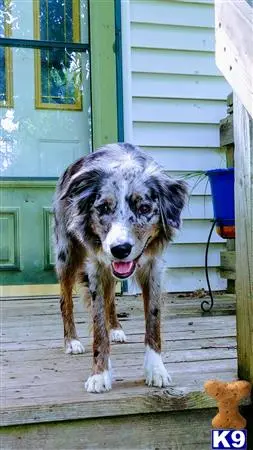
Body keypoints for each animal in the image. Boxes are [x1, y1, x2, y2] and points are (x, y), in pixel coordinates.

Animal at [53, 142, 188, 392]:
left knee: (111, 298)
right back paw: (72, 341)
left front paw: (156, 369)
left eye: (144, 208)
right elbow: (98, 328)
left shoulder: (153, 268)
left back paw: (115, 328)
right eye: (103, 208)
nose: (120, 249)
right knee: (65, 301)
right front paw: (99, 374)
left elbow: (153, 321)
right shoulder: (96, 267)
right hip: (66, 255)